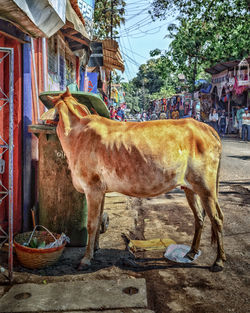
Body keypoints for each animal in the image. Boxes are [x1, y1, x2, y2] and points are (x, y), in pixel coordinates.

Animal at [42, 88, 226, 270]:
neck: (75, 135)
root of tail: (205, 127)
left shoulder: (92, 188)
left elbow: (92, 224)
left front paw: (86, 259)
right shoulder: (101, 190)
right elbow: (98, 220)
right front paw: (94, 249)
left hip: (206, 187)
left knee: (217, 219)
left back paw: (219, 260)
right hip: (190, 188)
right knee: (199, 218)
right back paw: (191, 252)